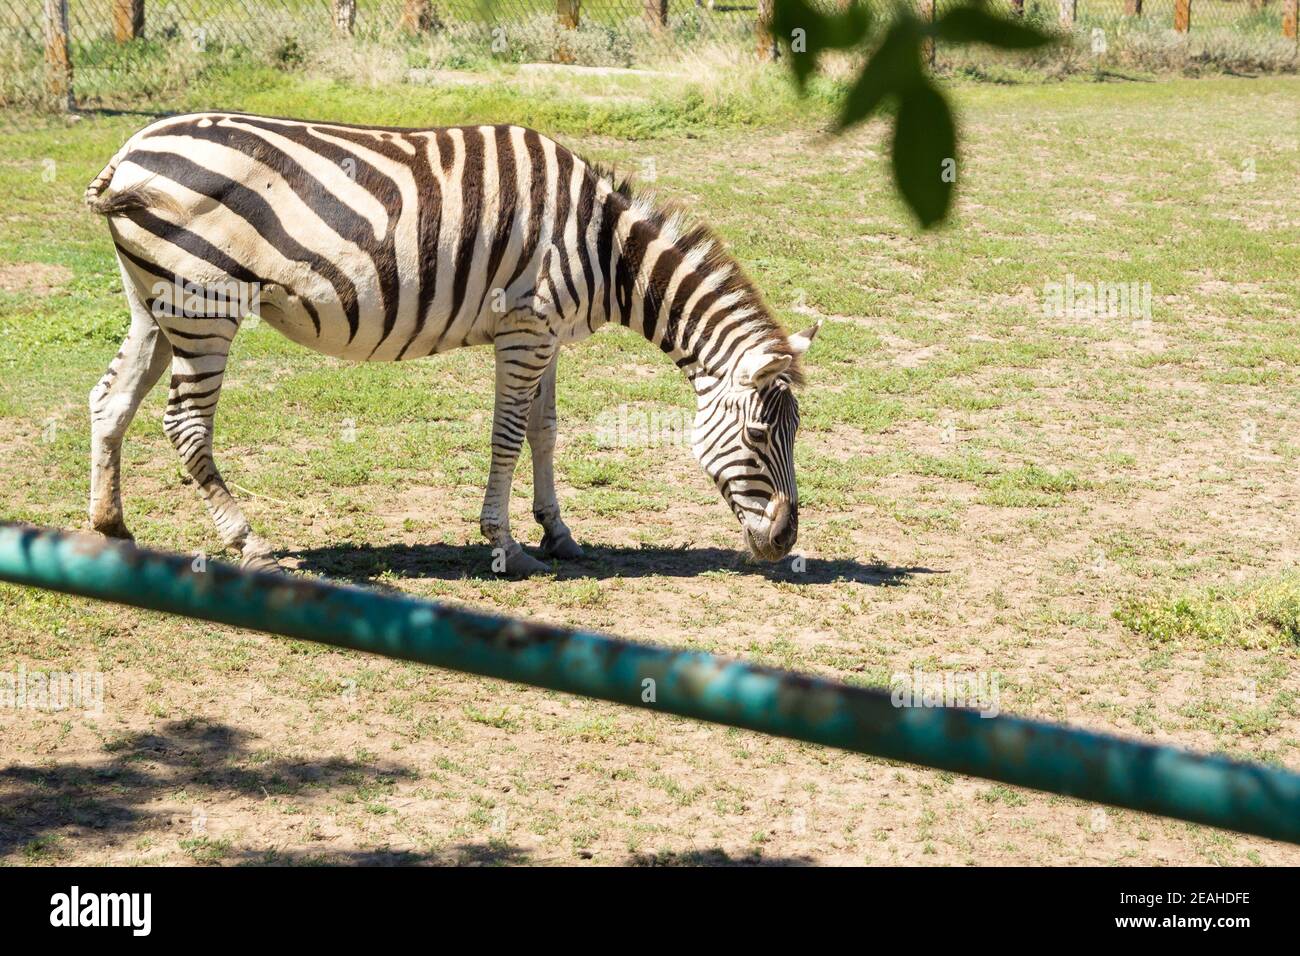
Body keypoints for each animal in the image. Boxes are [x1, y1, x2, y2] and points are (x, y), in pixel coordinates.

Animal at [83, 111, 821, 574]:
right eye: (760, 435)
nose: (784, 539)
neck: (606, 249)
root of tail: (127, 153)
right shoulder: (524, 330)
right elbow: (508, 435)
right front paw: (505, 545)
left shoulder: (548, 335)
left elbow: (546, 430)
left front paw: (558, 533)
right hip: (204, 304)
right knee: (185, 425)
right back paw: (250, 542)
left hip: (153, 305)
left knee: (108, 400)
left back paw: (110, 524)